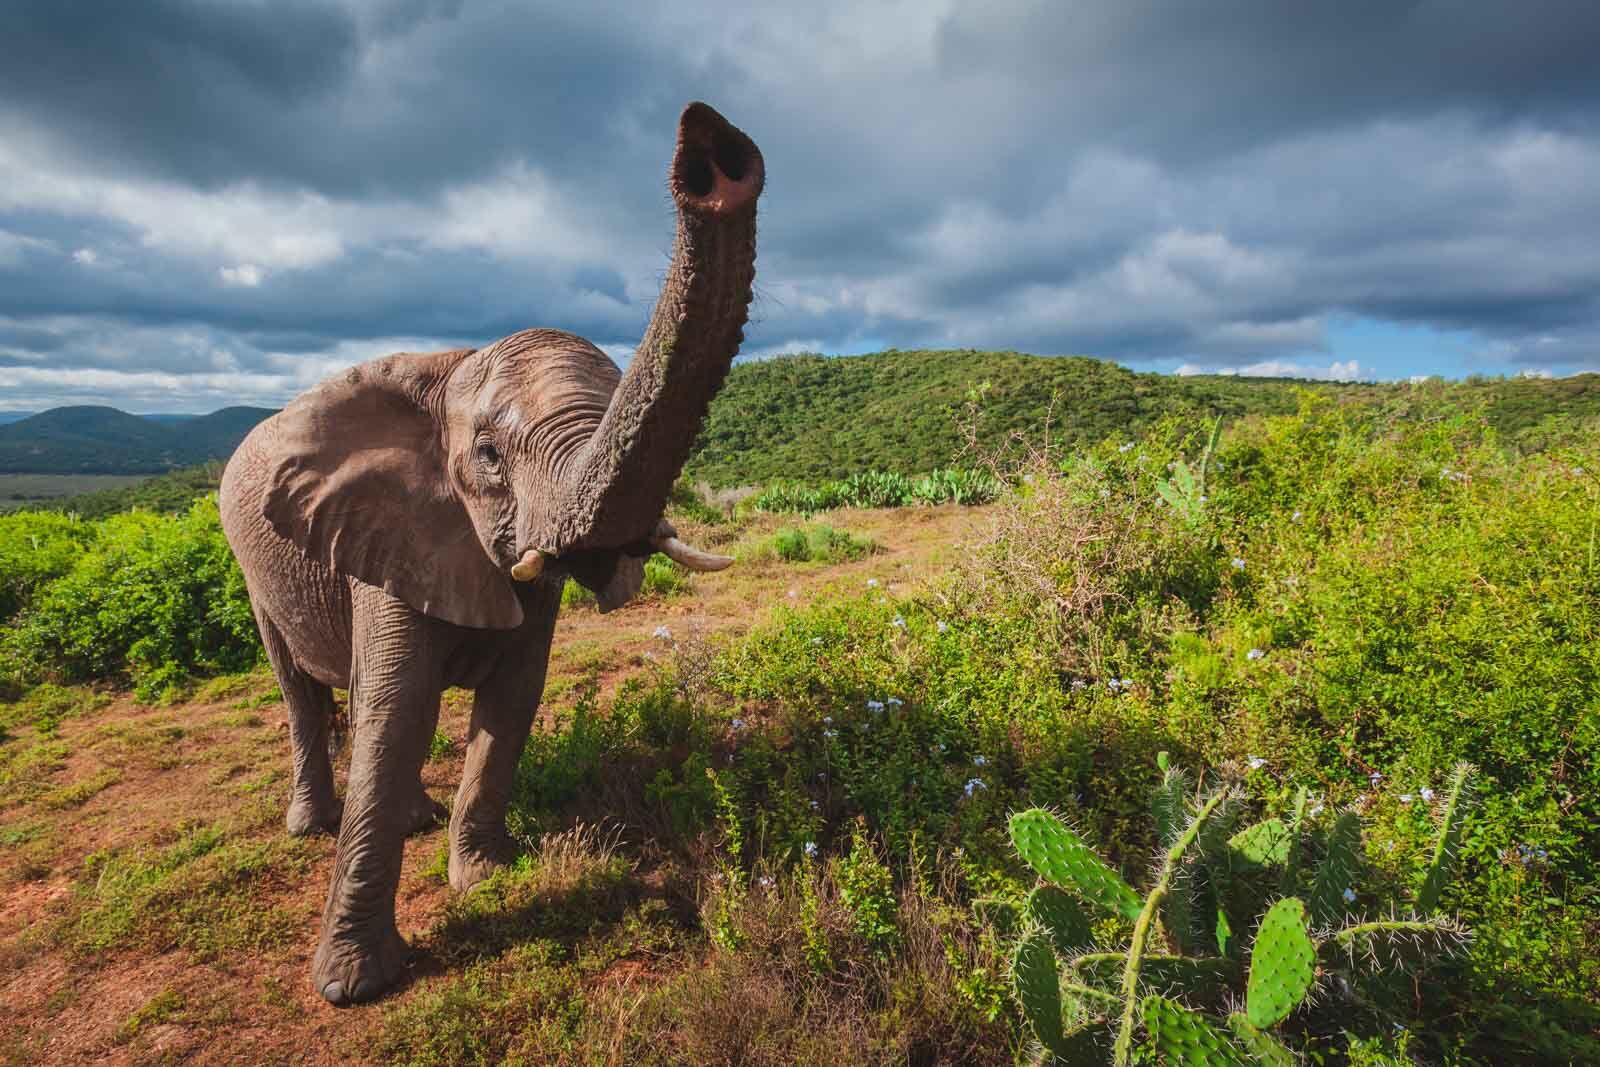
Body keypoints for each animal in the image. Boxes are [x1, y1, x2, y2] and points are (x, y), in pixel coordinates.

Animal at [217, 102, 761, 1011]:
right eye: (490, 458)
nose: (713, 156)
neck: (447, 375)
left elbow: (511, 699)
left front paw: (485, 877)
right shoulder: (387, 541)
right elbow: (394, 709)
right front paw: (352, 985)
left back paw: (416, 820)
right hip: (253, 570)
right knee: (299, 690)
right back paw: (311, 824)